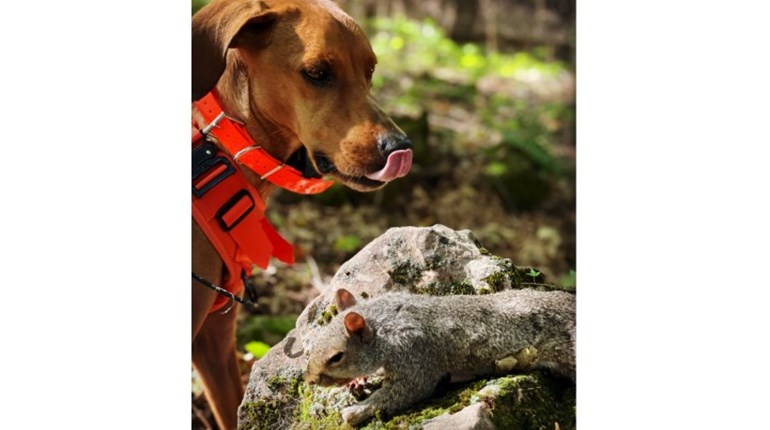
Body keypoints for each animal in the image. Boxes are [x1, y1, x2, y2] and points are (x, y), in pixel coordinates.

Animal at [305, 287, 575, 426]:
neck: (386, 324)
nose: (309, 379)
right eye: (316, 340)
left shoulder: (414, 354)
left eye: (337, 357)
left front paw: (356, 412)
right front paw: (358, 382)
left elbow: (405, 391)